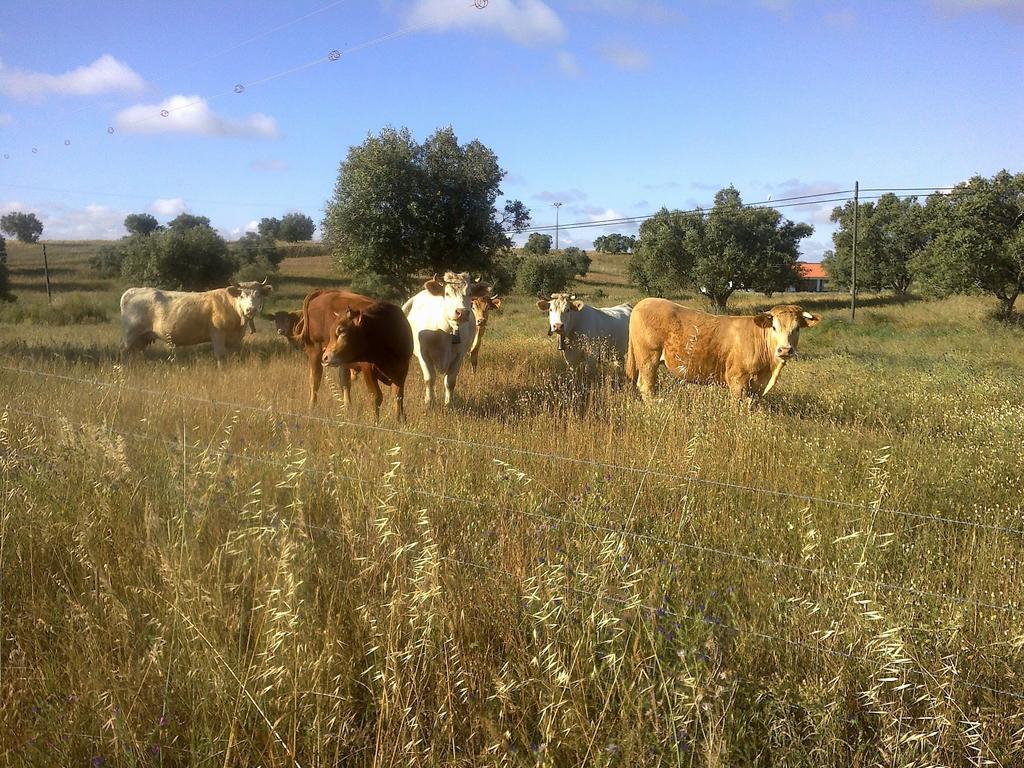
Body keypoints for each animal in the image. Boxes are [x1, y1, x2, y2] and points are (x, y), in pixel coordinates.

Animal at [118, 280, 272, 364]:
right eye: (241, 295)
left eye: (258, 295)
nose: (251, 309)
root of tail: (132, 290)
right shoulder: (217, 334)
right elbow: (220, 355)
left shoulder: (235, 339)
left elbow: (233, 355)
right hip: (130, 334)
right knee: (124, 351)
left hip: (142, 338)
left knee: (135, 353)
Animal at [299, 288, 413, 423]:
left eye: (342, 330)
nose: (326, 357)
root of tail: (324, 292)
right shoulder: (368, 368)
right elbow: (376, 396)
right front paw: (375, 422)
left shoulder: (402, 369)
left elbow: (398, 396)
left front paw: (399, 421)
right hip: (314, 351)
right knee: (315, 381)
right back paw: (312, 407)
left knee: (344, 382)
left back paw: (347, 408)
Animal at [401, 274, 489, 411]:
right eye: (447, 293)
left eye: (469, 293)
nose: (461, 312)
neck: (446, 330)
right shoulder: (423, 354)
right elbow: (430, 379)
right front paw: (429, 403)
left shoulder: (459, 356)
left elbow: (450, 381)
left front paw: (448, 404)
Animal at [622, 299, 823, 405]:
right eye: (774, 327)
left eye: (797, 328)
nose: (785, 350)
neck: (769, 370)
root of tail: (644, 302)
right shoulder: (737, 379)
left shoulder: (756, 387)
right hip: (649, 357)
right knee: (646, 386)